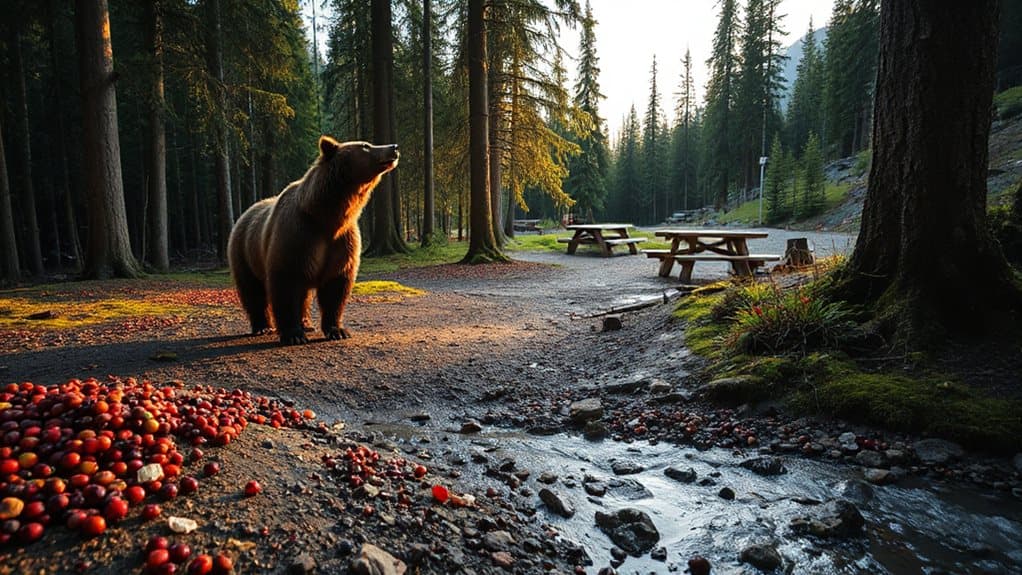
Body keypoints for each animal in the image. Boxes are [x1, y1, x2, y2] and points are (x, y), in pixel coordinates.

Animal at [228, 136, 399, 345]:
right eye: (365, 146)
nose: (393, 147)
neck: (325, 216)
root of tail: (245, 214)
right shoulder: (297, 236)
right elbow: (285, 286)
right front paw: (293, 334)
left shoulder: (341, 242)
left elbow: (335, 287)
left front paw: (337, 330)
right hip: (244, 252)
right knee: (252, 291)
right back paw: (262, 326)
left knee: (303, 295)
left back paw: (306, 324)